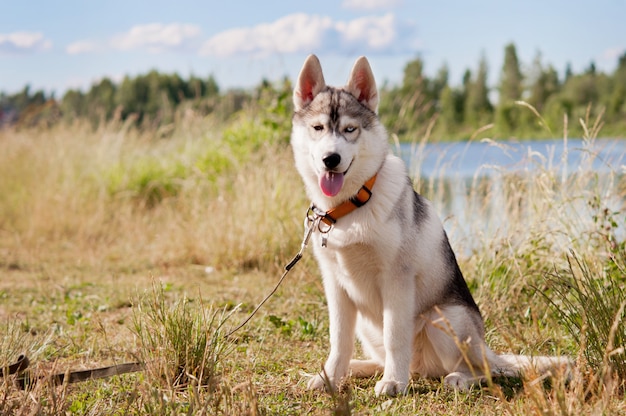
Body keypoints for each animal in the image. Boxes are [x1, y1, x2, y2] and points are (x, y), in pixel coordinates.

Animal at [288, 54, 572, 396]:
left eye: (349, 129)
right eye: (317, 128)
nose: (331, 159)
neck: (351, 205)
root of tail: (486, 348)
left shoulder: (397, 280)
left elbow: (395, 338)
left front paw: (394, 383)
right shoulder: (335, 285)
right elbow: (338, 341)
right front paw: (332, 375)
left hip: (443, 319)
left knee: (484, 372)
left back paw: (455, 378)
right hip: (368, 327)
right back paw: (360, 367)